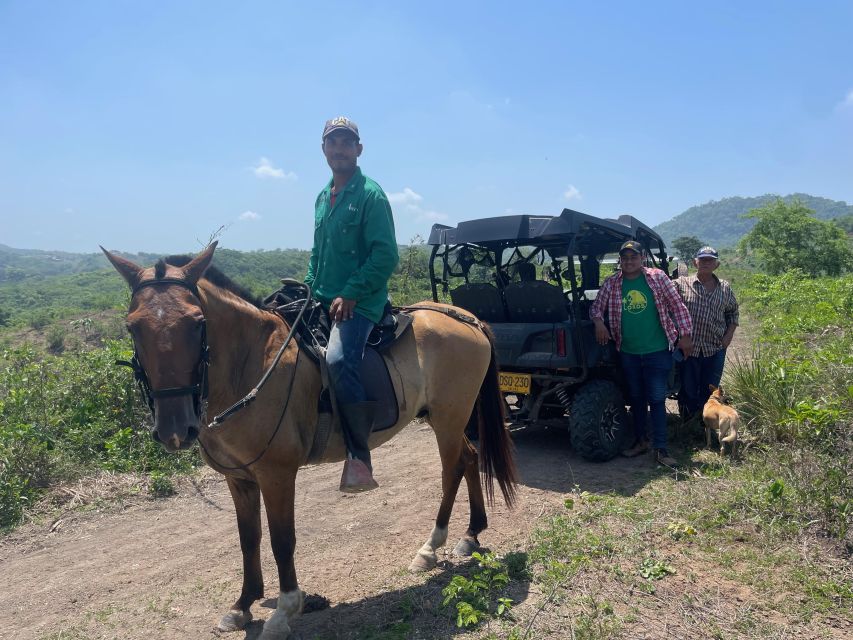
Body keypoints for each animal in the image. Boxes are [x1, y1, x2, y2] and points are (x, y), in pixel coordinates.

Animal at [103, 242, 516, 636]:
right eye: (132, 327)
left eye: (197, 323)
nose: (175, 429)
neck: (251, 365)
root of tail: (465, 318)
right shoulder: (239, 479)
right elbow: (248, 539)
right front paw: (242, 605)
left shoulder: (277, 475)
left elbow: (281, 540)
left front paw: (284, 610)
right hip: (448, 419)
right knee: (470, 459)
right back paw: (470, 534)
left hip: (448, 418)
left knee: (452, 471)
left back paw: (430, 547)